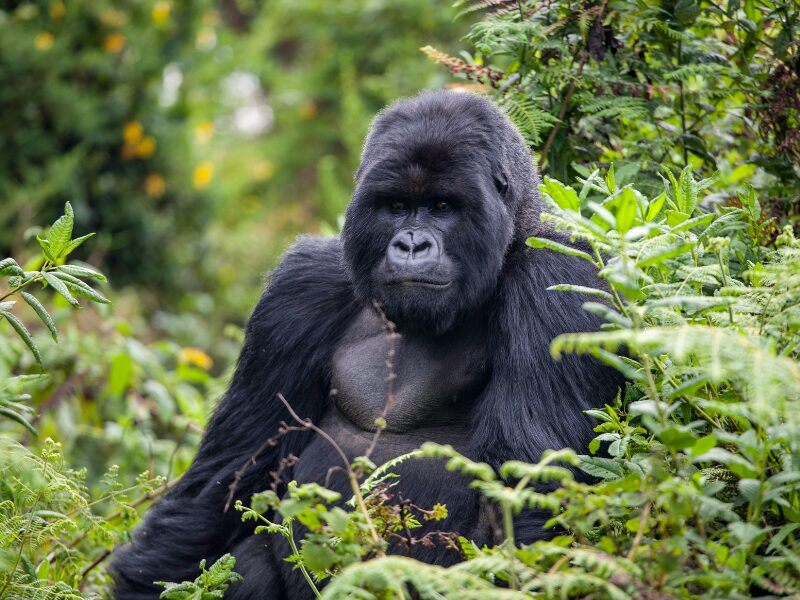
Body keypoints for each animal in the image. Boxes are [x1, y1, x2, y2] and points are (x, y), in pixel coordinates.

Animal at [112, 91, 620, 596]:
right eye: (395, 206)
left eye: (442, 206)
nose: (411, 245)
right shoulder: (300, 288)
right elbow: (226, 480)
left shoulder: (556, 280)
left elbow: (528, 497)